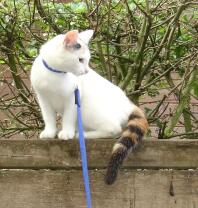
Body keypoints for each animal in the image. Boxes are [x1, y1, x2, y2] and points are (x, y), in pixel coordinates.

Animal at [30, 28, 148, 184]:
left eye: (87, 60)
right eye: (80, 59)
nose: (86, 71)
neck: (55, 74)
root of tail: (129, 105)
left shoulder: (73, 97)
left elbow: (68, 117)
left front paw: (66, 133)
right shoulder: (43, 98)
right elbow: (48, 117)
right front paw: (49, 132)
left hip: (89, 111)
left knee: (113, 130)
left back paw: (80, 134)